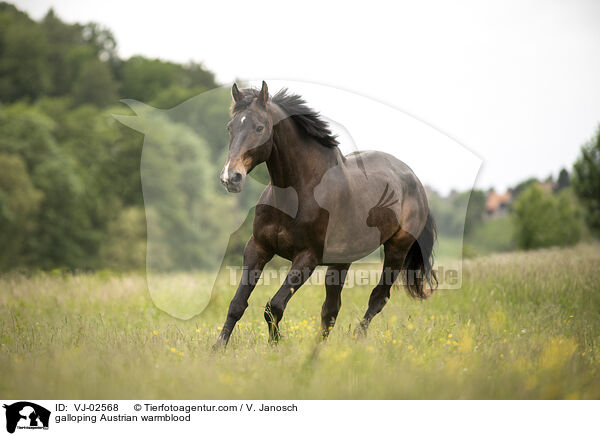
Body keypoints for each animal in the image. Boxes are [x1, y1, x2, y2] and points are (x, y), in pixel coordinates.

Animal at [212, 81, 436, 348]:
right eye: (230, 127)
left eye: (259, 127)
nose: (231, 178)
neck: (297, 193)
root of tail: (414, 180)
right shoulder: (257, 248)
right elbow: (237, 304)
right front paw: (217, 348)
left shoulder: (307, 257)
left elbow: (274, 306)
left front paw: (275, 346)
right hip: (341, 261)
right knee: (331, 308)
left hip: (396, 251)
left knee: (377, 298)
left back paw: (356, 339)